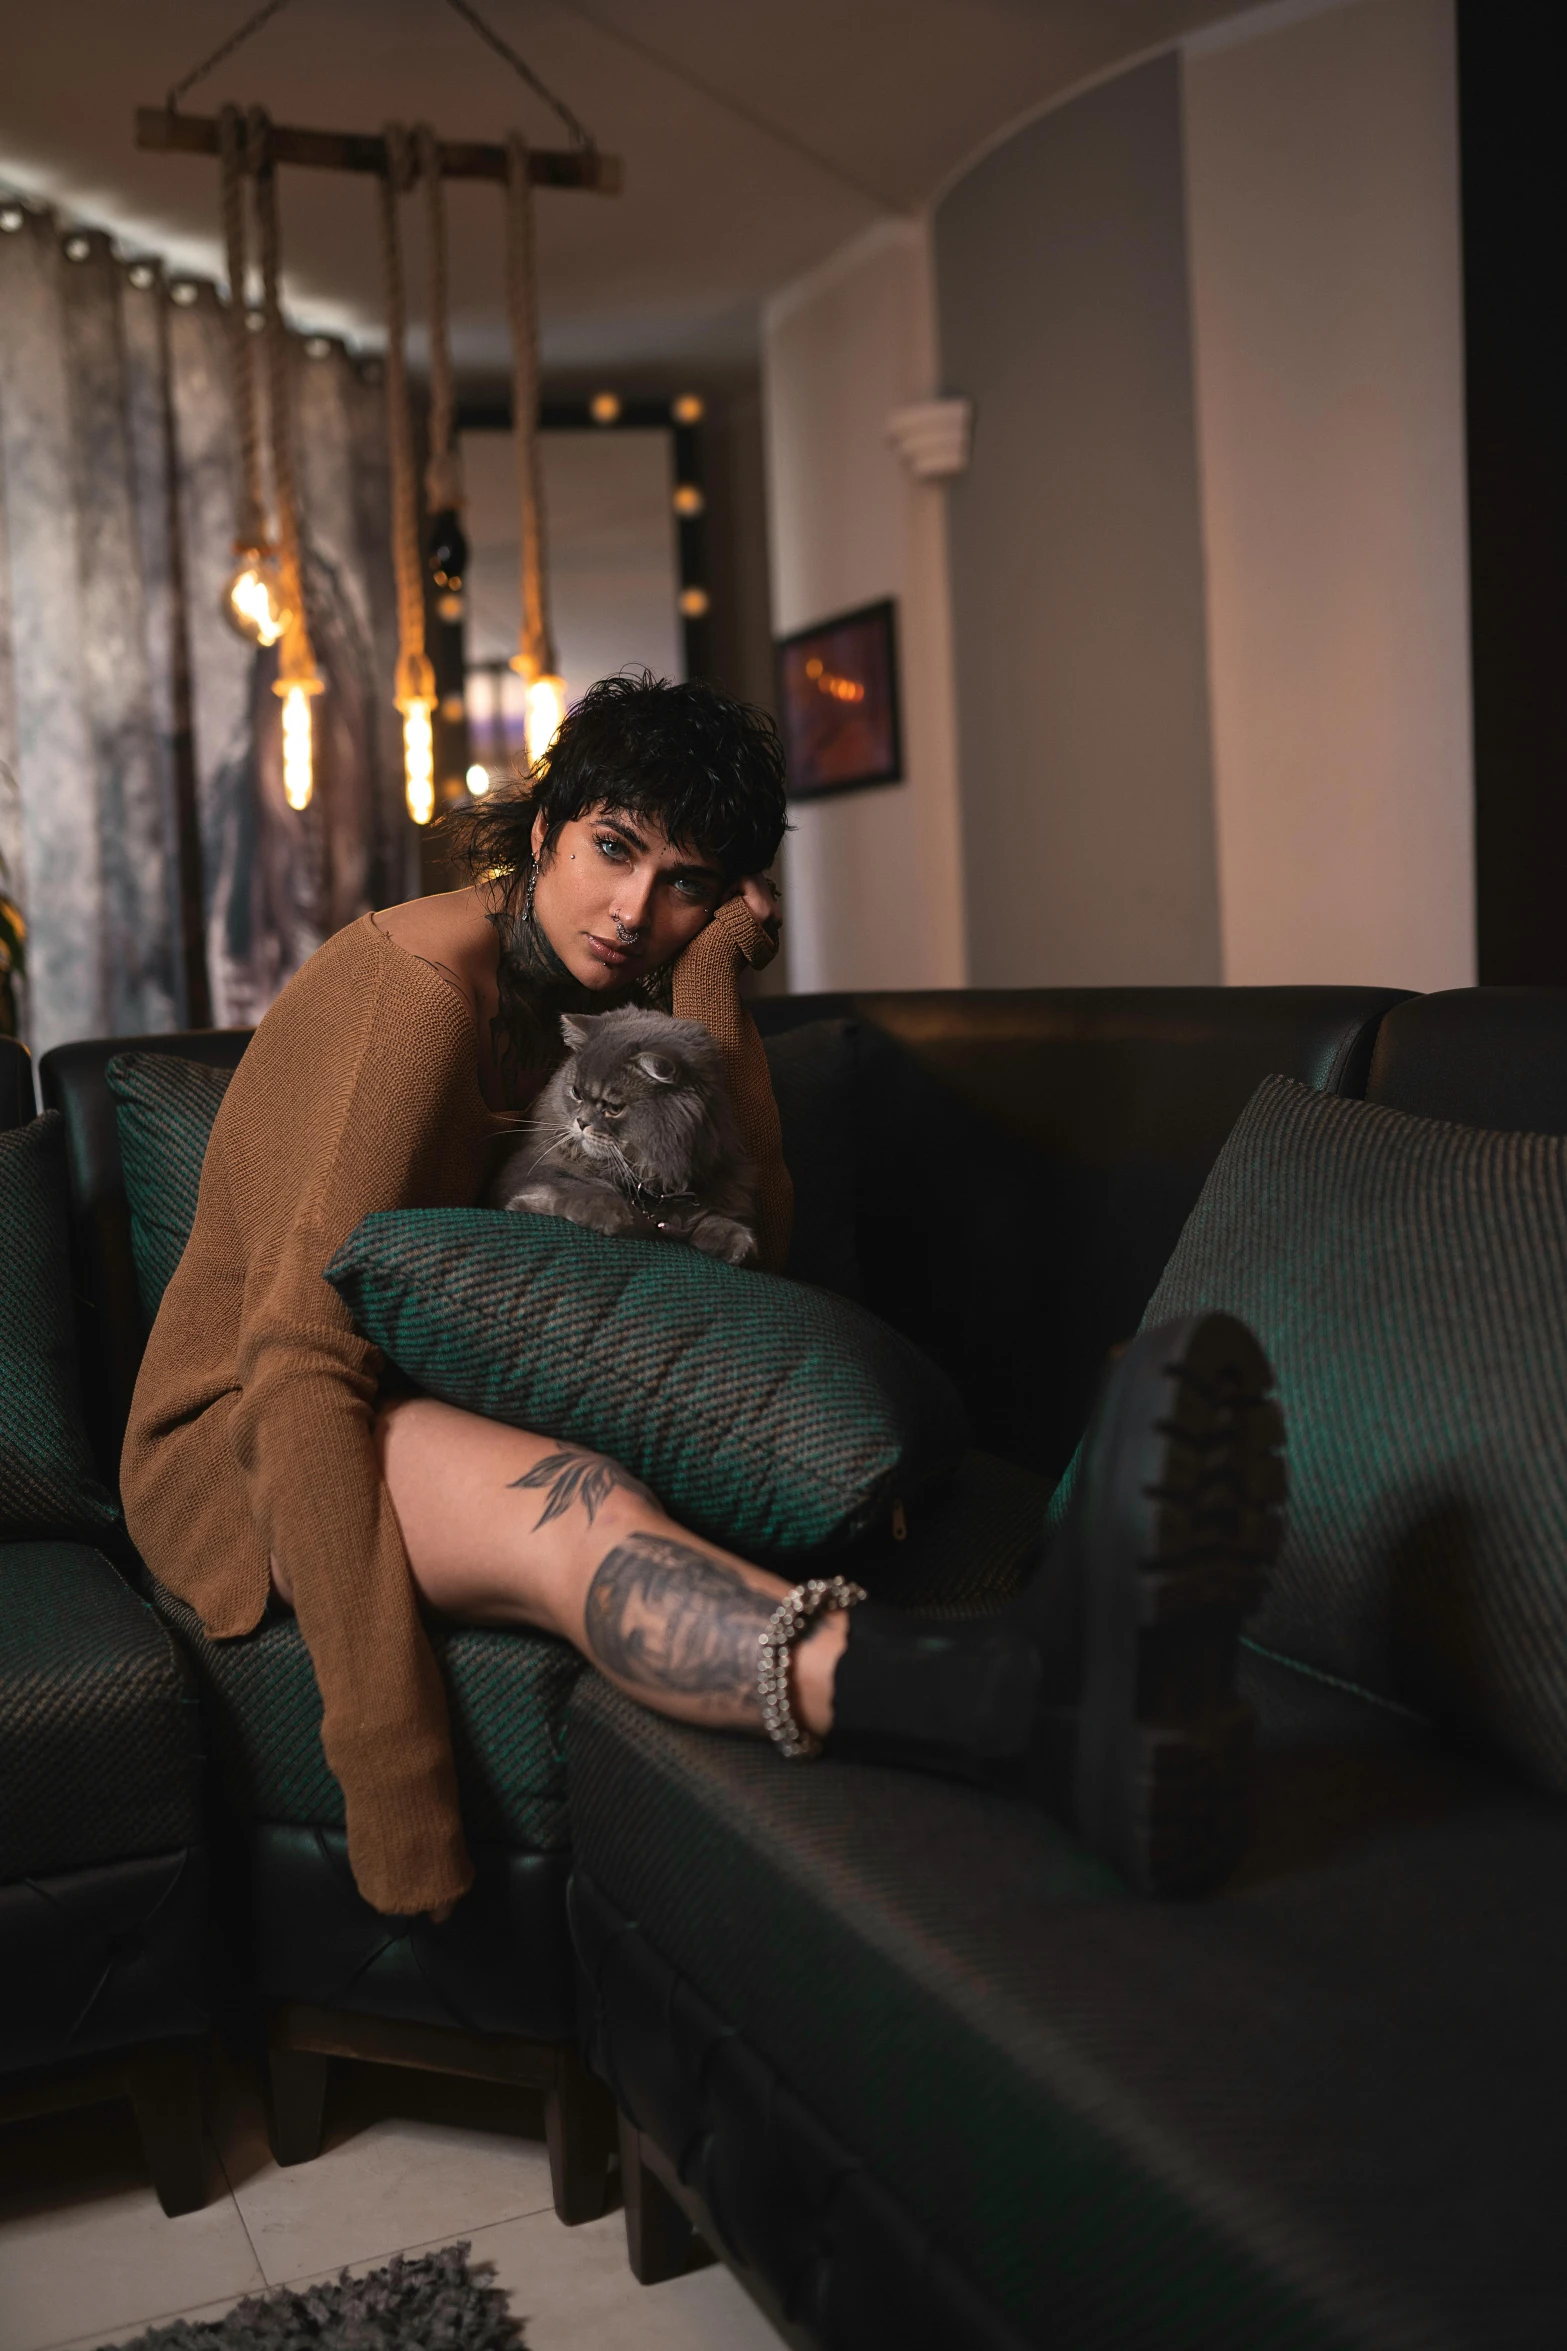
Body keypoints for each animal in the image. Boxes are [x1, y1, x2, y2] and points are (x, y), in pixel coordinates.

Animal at [491, 1010, 761, 1269]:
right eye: (577, 1093)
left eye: (614, 1108)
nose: (581, 1122)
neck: (645, 1183)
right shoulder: (526, 1173)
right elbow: (575, 1187)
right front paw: (611, 1214)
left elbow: (711, 1219)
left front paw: (737, 1244)